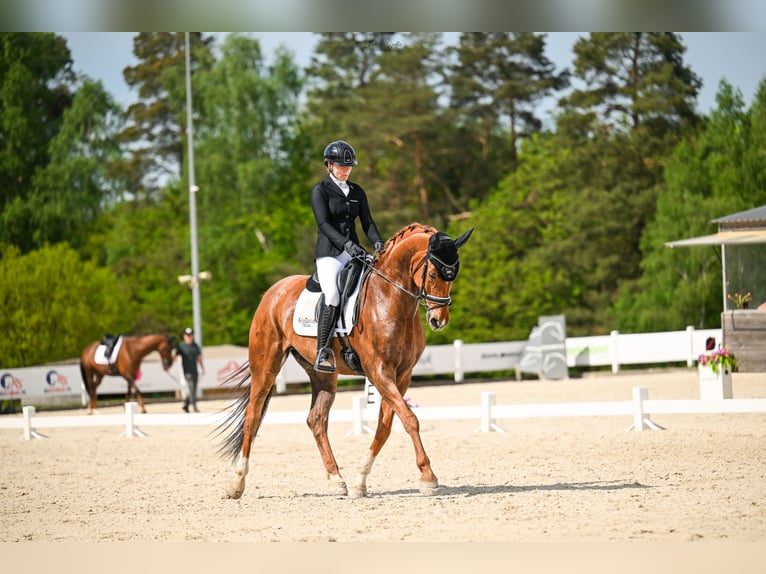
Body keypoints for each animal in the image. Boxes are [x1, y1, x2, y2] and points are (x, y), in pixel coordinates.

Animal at [218, 223, 474, 502]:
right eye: (434, 274)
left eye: (453, 276)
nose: (439, 320)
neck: (390, 299)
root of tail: (273, 291)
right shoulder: (379, 371)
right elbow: (409, 419)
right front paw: (428, 477)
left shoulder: (402, 375)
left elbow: (385, 426)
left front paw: (360, 481)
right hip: (266, 365)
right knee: (253, 415)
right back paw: (236, 483)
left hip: (322, 373)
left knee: (316, 420)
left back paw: (336, 479)